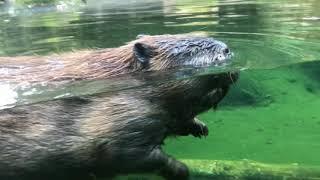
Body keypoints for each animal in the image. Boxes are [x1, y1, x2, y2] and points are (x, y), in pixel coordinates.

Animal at [0, 34, 238, 179]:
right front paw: (182, 170)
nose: (228, 49)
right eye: (193, 47)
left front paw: (200, 128)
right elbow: (127, 153)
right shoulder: (123, 115)